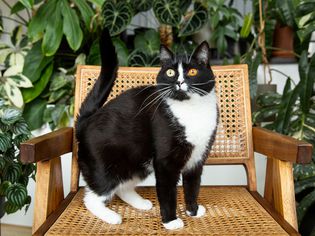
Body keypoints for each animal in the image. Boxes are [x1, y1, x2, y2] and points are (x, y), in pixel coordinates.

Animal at [76, 28, 220, 230]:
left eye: (192, 71)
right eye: (170, 72)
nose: (179, 82)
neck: (192, 110)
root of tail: (86, 121)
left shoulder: (198, 157)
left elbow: (193, 186)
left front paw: (193, 211)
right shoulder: (165, 163)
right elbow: (167, 193)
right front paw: (171, 221)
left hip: (138, 161)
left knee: (123, 186)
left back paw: (141, 203)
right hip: (105, 167)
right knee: (93, 196)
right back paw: (111, 216)